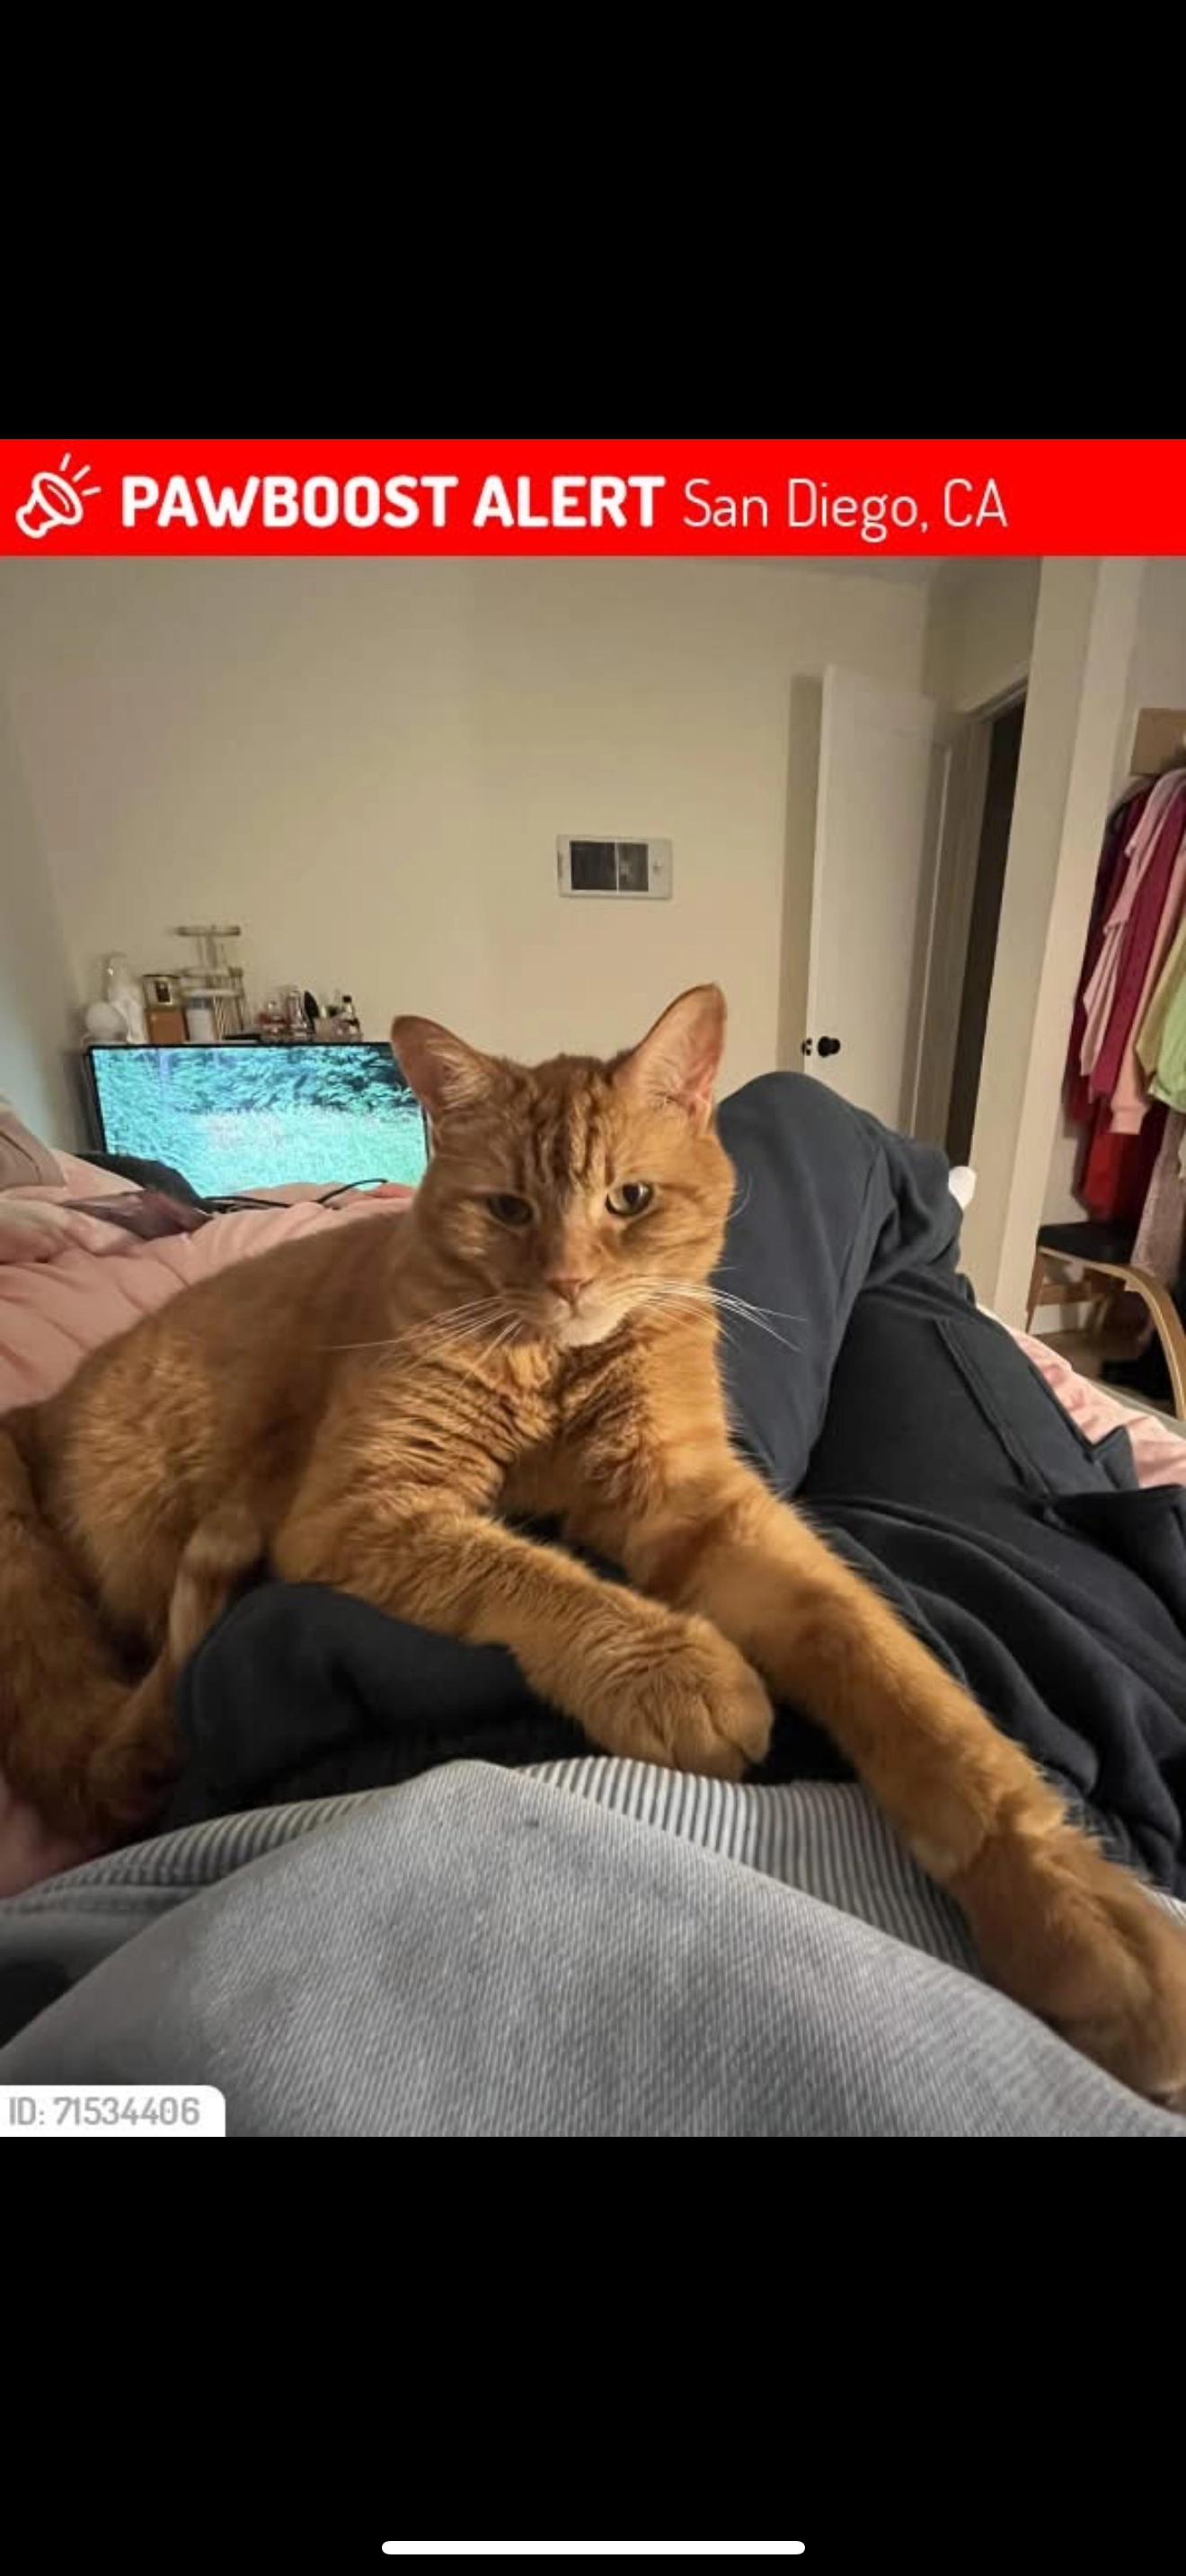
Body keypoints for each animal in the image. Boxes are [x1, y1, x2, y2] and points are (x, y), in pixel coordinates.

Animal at [2, 984, 1185, 2104]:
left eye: (630, 1201)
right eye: (508, 1209)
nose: (569, 1282)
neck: (556, 1370)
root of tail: (34, 1412)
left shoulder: (701, 1505)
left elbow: (910, 1696)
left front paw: (1073, 1908)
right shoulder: (362, 1509)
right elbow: (535, 1574)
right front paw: (674, 1668)